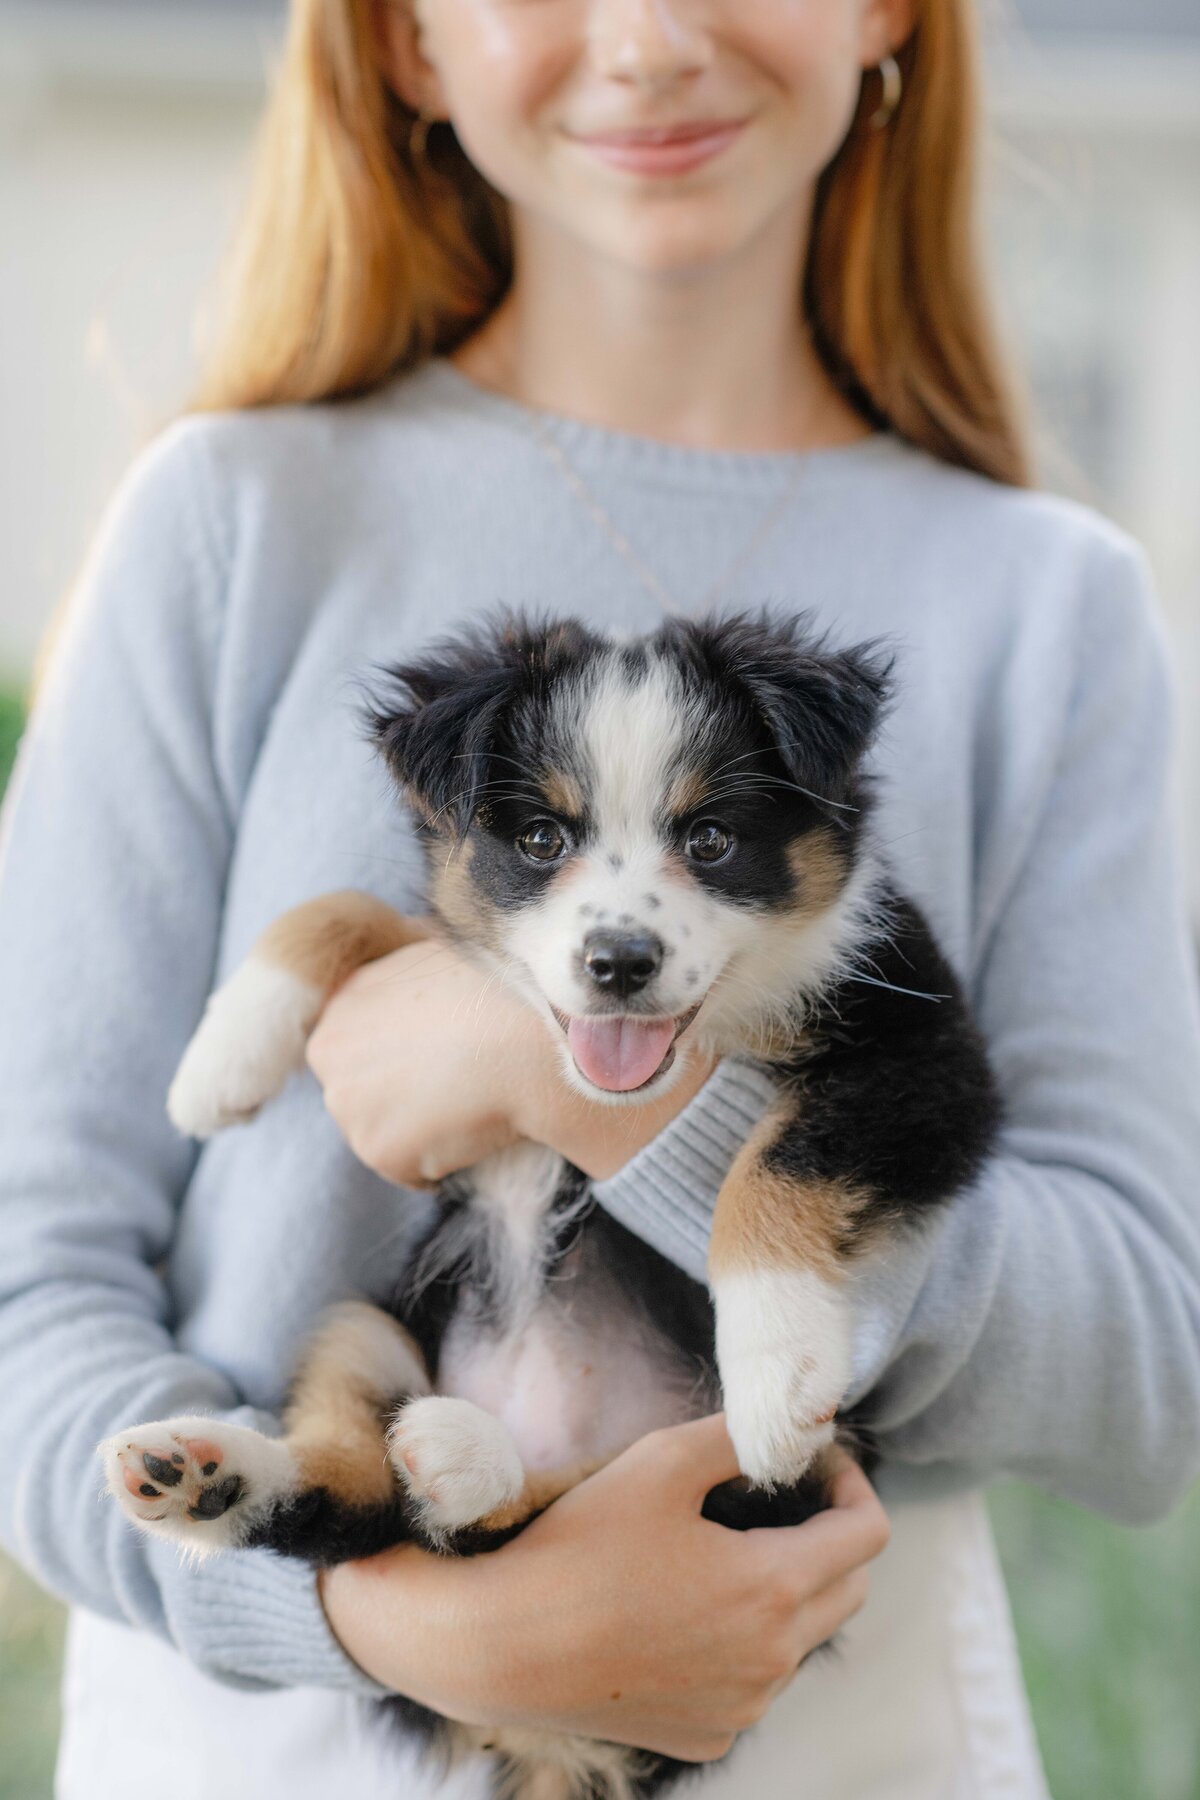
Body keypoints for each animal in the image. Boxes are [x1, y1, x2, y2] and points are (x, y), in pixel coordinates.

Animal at [103, 612, 1000, 1792]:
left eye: (711, 840)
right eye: (540, 841)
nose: (618, 962)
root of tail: (555, 1748)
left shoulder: (927, 1053)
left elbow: (775, 1164)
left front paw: (777, 1374)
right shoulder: (472, 951)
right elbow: (351, 906)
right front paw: (221, 1059)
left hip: (796, 1483)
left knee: (515, 1524)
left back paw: (460, 1463)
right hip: (364, 1324)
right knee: (370, 1512)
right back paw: (216, 1474)